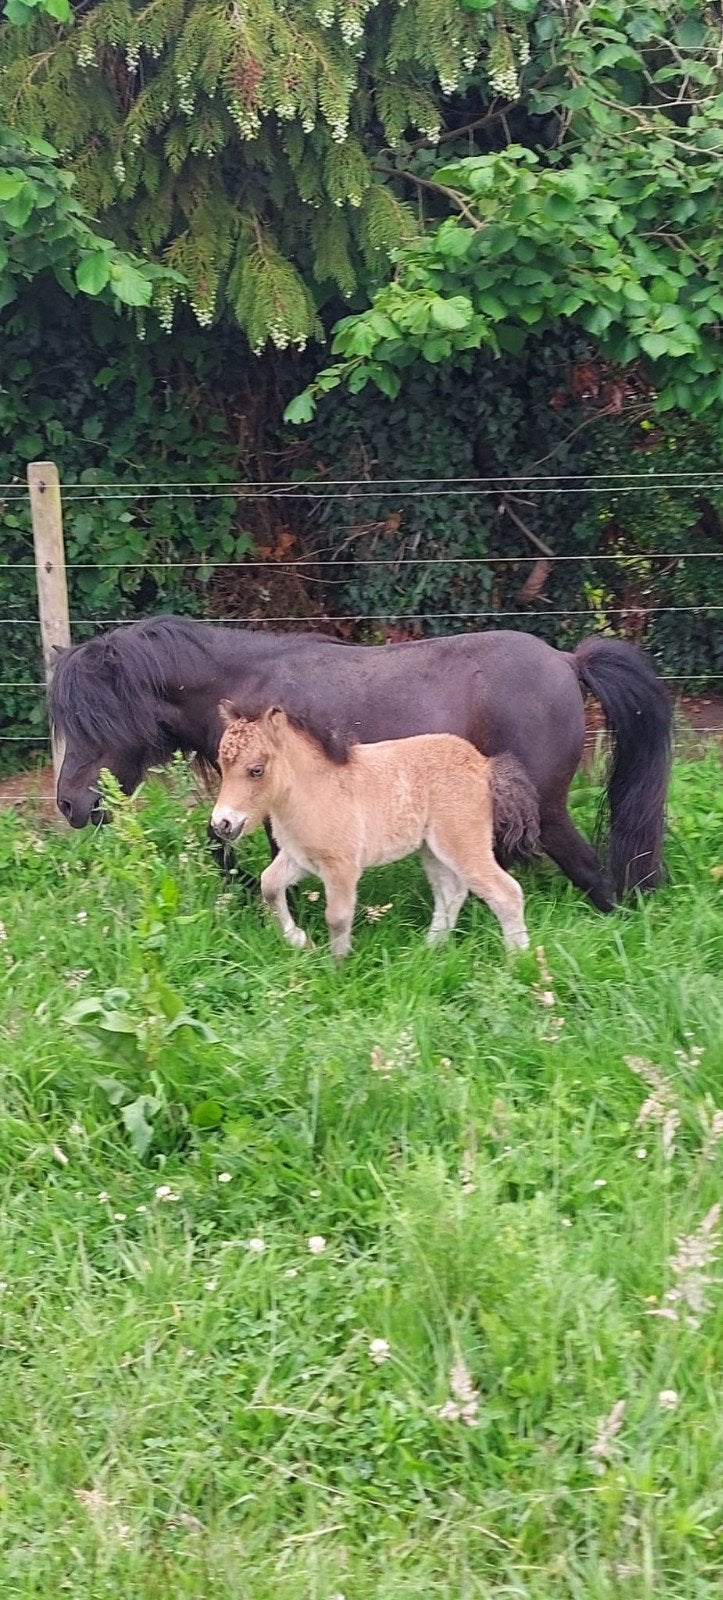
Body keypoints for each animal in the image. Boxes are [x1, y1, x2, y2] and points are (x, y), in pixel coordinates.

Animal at [48, 615, 672, 911]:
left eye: (96, 718)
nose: (70, 804)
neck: (245, 686)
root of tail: (568, 662)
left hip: (546, 808)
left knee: (592, 873)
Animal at [211, 705, 539, 957]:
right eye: (221, 766)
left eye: (256, 770)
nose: (222, 824)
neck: (313, 789)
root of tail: (483, 765)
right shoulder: (300, 856)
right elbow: (269, 884)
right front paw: (300, 941)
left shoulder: (341, 866)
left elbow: (337, 917)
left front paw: (338, 969)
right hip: (432, 849)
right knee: (451, 892)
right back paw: (428, 950)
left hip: (463, 842)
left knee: (505, 892)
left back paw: (520, 962)